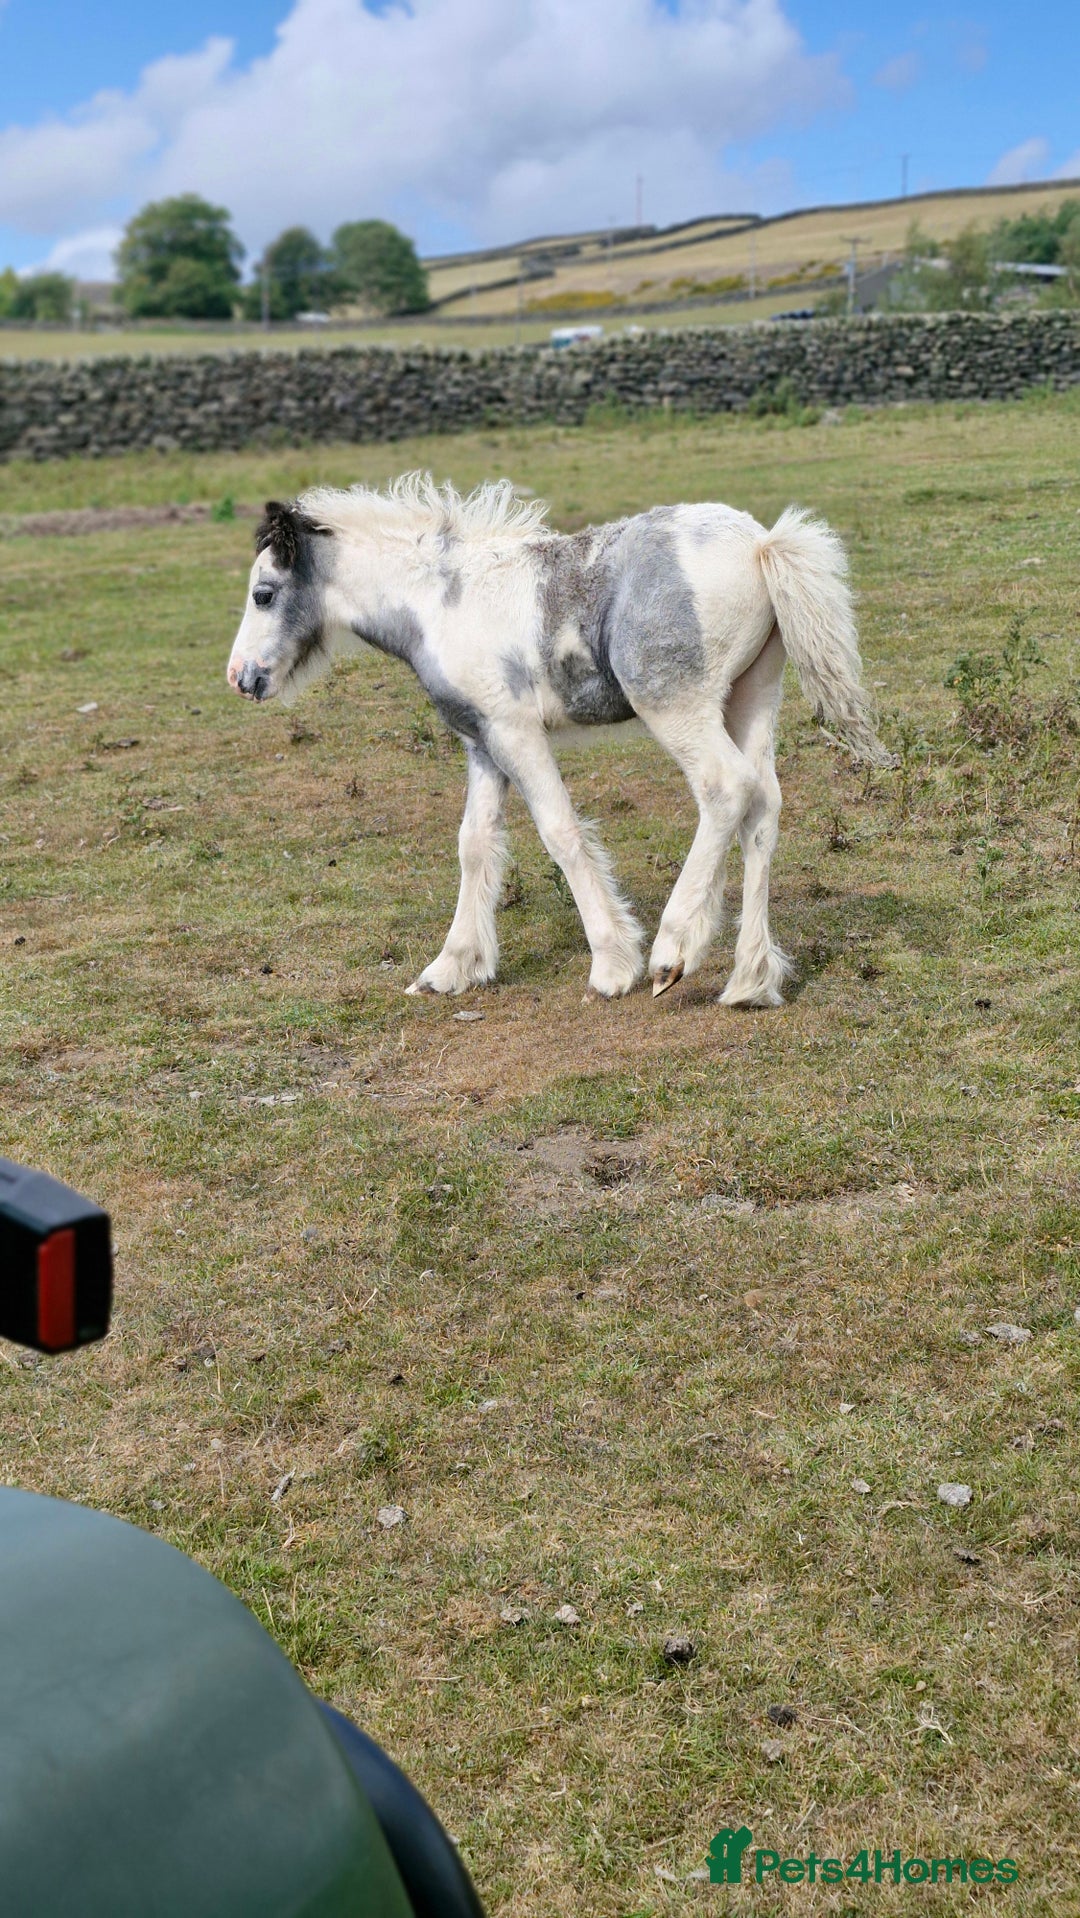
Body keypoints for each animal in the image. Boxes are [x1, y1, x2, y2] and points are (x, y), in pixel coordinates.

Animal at [226, 473, 890, 1005]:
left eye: (264, 593)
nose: (240, 678)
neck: (440, 602)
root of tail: (760, 543)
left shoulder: (515, 732)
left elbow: (561, 832)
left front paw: (614, 964)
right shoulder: (481, 741)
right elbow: (475, 844)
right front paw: (449, 969)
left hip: (674, 704)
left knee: (725, 789)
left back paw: (671, 953)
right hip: (751, 694)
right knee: (764, 808)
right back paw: (750, 981)